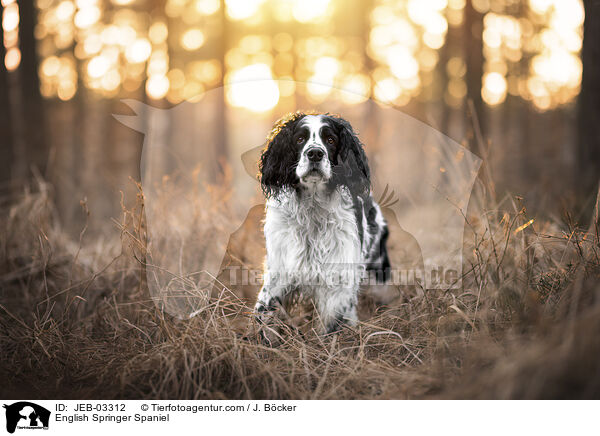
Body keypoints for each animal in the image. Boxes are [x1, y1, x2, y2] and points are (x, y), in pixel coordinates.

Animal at [252, 111, 390, 334]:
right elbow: (263, 312)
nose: (315, 153)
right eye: (300, 139)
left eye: (331, 140)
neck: (313, 208)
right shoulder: (279, 272)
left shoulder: (339, 281)